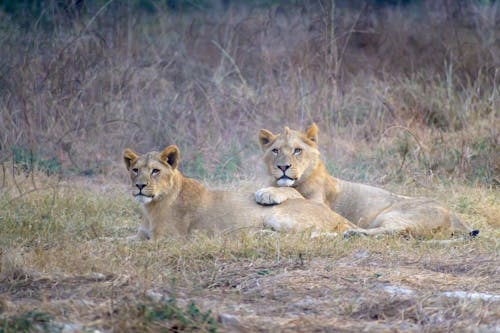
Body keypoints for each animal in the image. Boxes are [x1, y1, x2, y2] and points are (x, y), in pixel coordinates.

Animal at [121, 143, 358, 239]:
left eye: (155, 171)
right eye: (135, 170)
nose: (139, 186)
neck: (150, 208)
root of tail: (339, 217)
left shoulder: (168, 240)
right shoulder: (141, 235)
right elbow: (117, 241)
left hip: (277, 215)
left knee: (304, 235)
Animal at [256, 123, 478, 237]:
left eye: (297, 150)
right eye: (275, 151)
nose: (283, 167)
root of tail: (456, 217)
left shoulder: (320, 204)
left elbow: (292, 191)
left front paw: (267, 193)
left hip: (392, 214)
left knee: (393, 230)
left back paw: (350, 233)